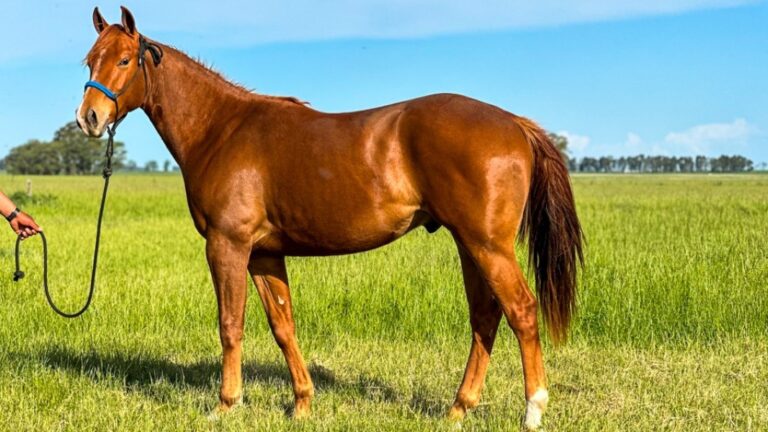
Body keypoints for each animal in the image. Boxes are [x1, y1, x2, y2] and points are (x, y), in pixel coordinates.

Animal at [77, 7, 583, 430]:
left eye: (125, 60)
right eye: (89, 61)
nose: (89, 118)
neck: (221, 130)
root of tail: (513, 122)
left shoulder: (227, 245)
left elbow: (230, 324)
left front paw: (226, 404)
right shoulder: (264, 254)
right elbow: (283, 326)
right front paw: (301, 403)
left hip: (487, 244)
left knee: (521, 311)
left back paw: (532, 409)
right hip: (468, 243)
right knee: (485, 317)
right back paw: (458, 408)